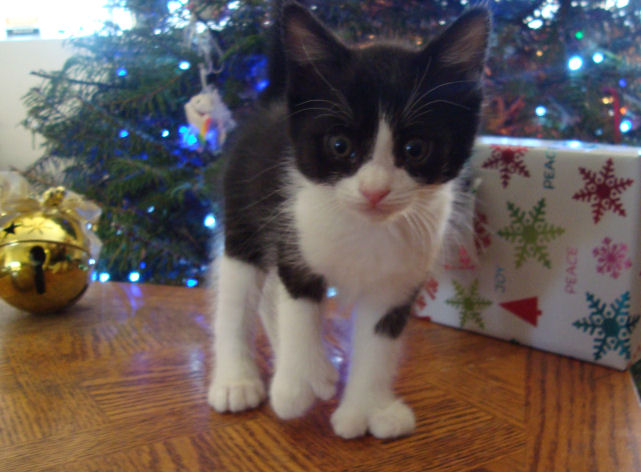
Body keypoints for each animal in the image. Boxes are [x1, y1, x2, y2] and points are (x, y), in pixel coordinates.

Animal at [208, 1, 488, 440]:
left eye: (416, 148)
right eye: (339, 145)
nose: (375, 190)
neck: (366, 228)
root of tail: (275, 101)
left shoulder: (398, 281)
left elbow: (378, 343)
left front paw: (368, 409)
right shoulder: (297, 242)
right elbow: (298, 310)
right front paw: (294, 388)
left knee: (268, 292)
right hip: (243, 214)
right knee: (239, 291)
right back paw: (238, 380)